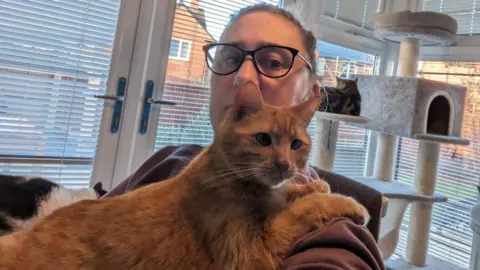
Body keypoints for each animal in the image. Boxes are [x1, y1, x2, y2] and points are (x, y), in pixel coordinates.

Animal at [0, 82, 368, 270]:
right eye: (264, 139)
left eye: (296, 144)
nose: (284, 165)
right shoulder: (252, 254)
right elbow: (304, 209)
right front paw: (347, 203)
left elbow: (293, 195)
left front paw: (314, 183)